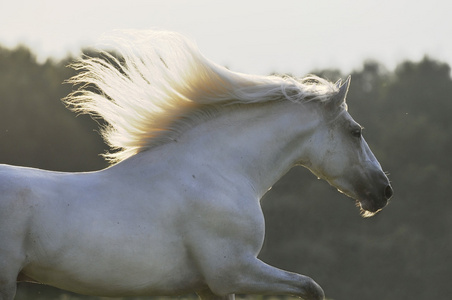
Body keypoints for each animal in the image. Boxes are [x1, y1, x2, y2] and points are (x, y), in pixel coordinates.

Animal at [0, 31, 392, 300]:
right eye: (356, 132)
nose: (384, 192)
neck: (219, 174)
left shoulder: (212, 285)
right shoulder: (233, 270)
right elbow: (312, 287)